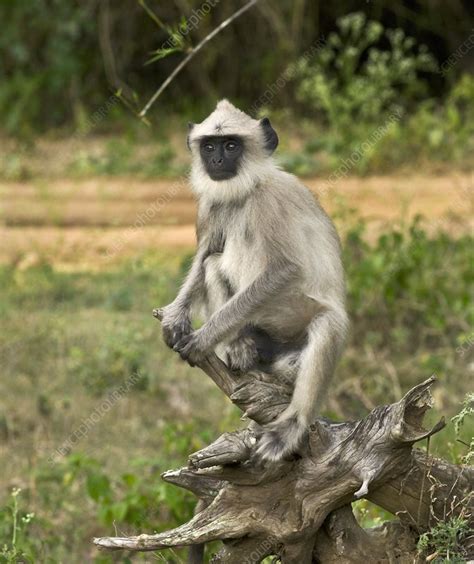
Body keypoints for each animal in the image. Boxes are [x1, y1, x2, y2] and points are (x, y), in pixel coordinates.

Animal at [157, 100, 346, 462]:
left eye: (231, 145)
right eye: (209, 146)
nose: (217, 161)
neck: (245, 191)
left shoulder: (270, 202)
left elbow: (284, 270)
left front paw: (202, 338)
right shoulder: (210, 206)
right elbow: (205, 255)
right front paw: (175, 317)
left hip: (292, 314)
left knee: (327, 324)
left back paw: (292, 426)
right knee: (214, 264)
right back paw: (240, 347)